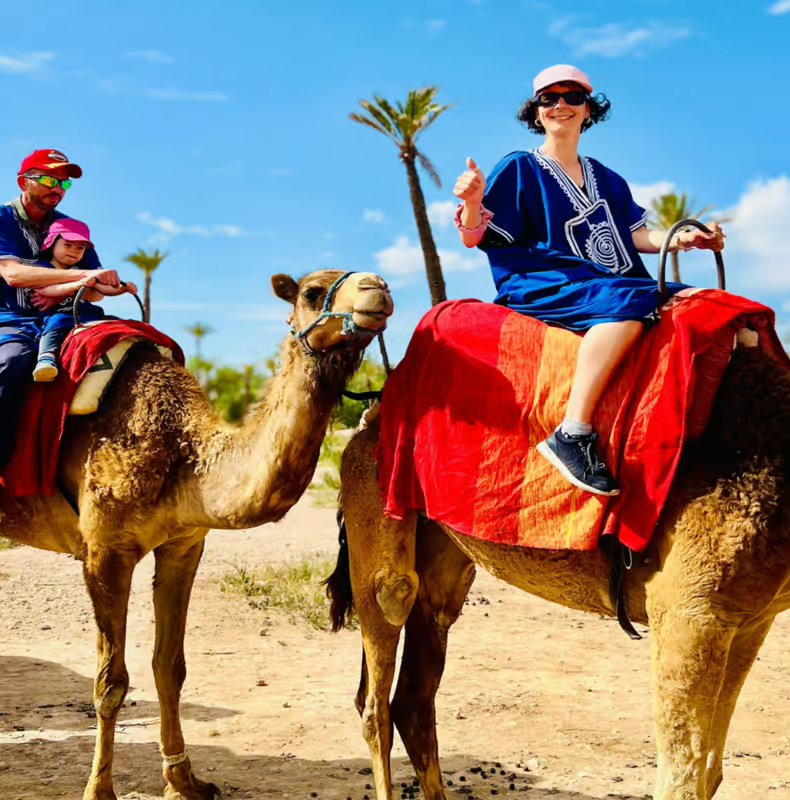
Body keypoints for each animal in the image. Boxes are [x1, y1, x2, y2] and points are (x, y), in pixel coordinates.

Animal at [0, 268, 392, 800]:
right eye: (312, 292)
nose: (379, 289)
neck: (184, 453)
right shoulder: (104, 551)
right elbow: (109, 682)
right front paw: (99, 789)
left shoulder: (184, 545)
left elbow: (170, 667)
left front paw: (184, 779)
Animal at [328, 336, 790, 800]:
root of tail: (367, 421)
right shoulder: (690, 614)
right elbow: (683, 778)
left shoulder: (750, 619)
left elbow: (709, 770)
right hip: (375, 504)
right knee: (380, 675)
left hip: (443, 556)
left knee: (415, 693)